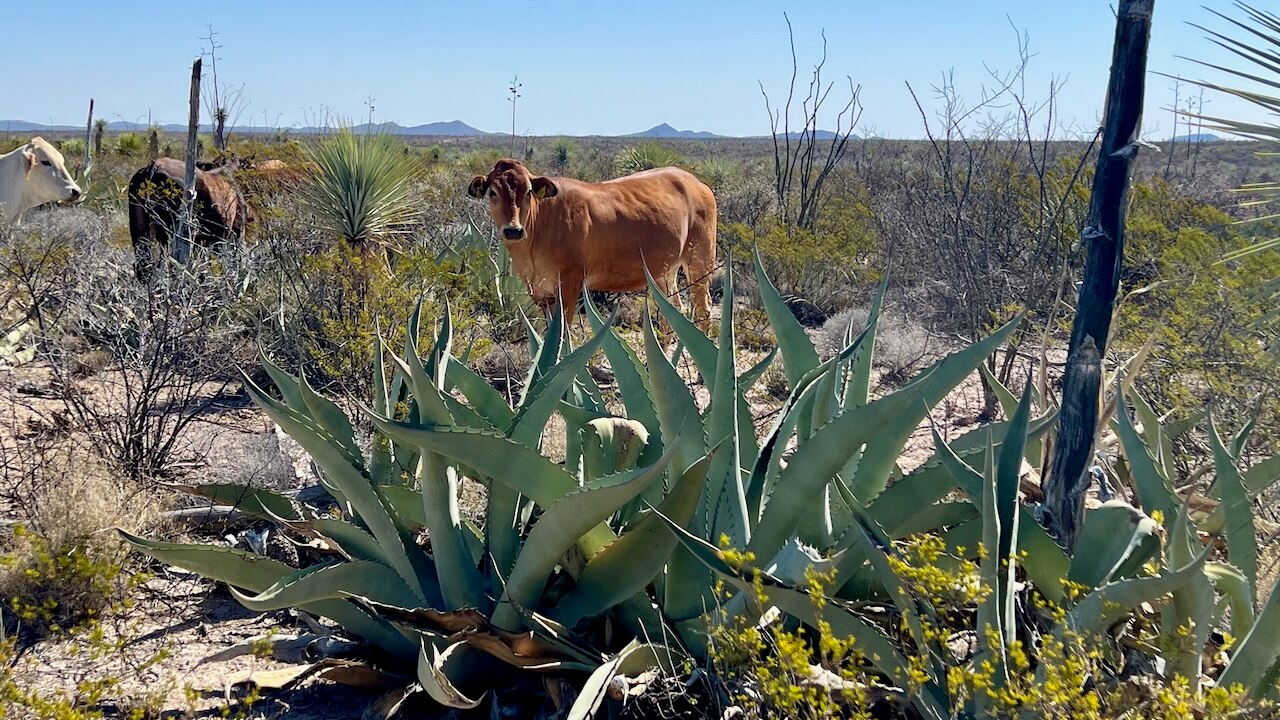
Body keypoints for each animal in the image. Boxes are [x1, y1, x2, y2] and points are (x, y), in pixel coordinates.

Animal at [468, 156, 721, 327]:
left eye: (529, 191)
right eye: (492, 192)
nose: (513, 230)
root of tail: (694, 181)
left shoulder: (569, 286)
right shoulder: (539, 292)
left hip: (700, 260)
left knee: (703, 310)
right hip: (663, 272)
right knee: (673, 311)